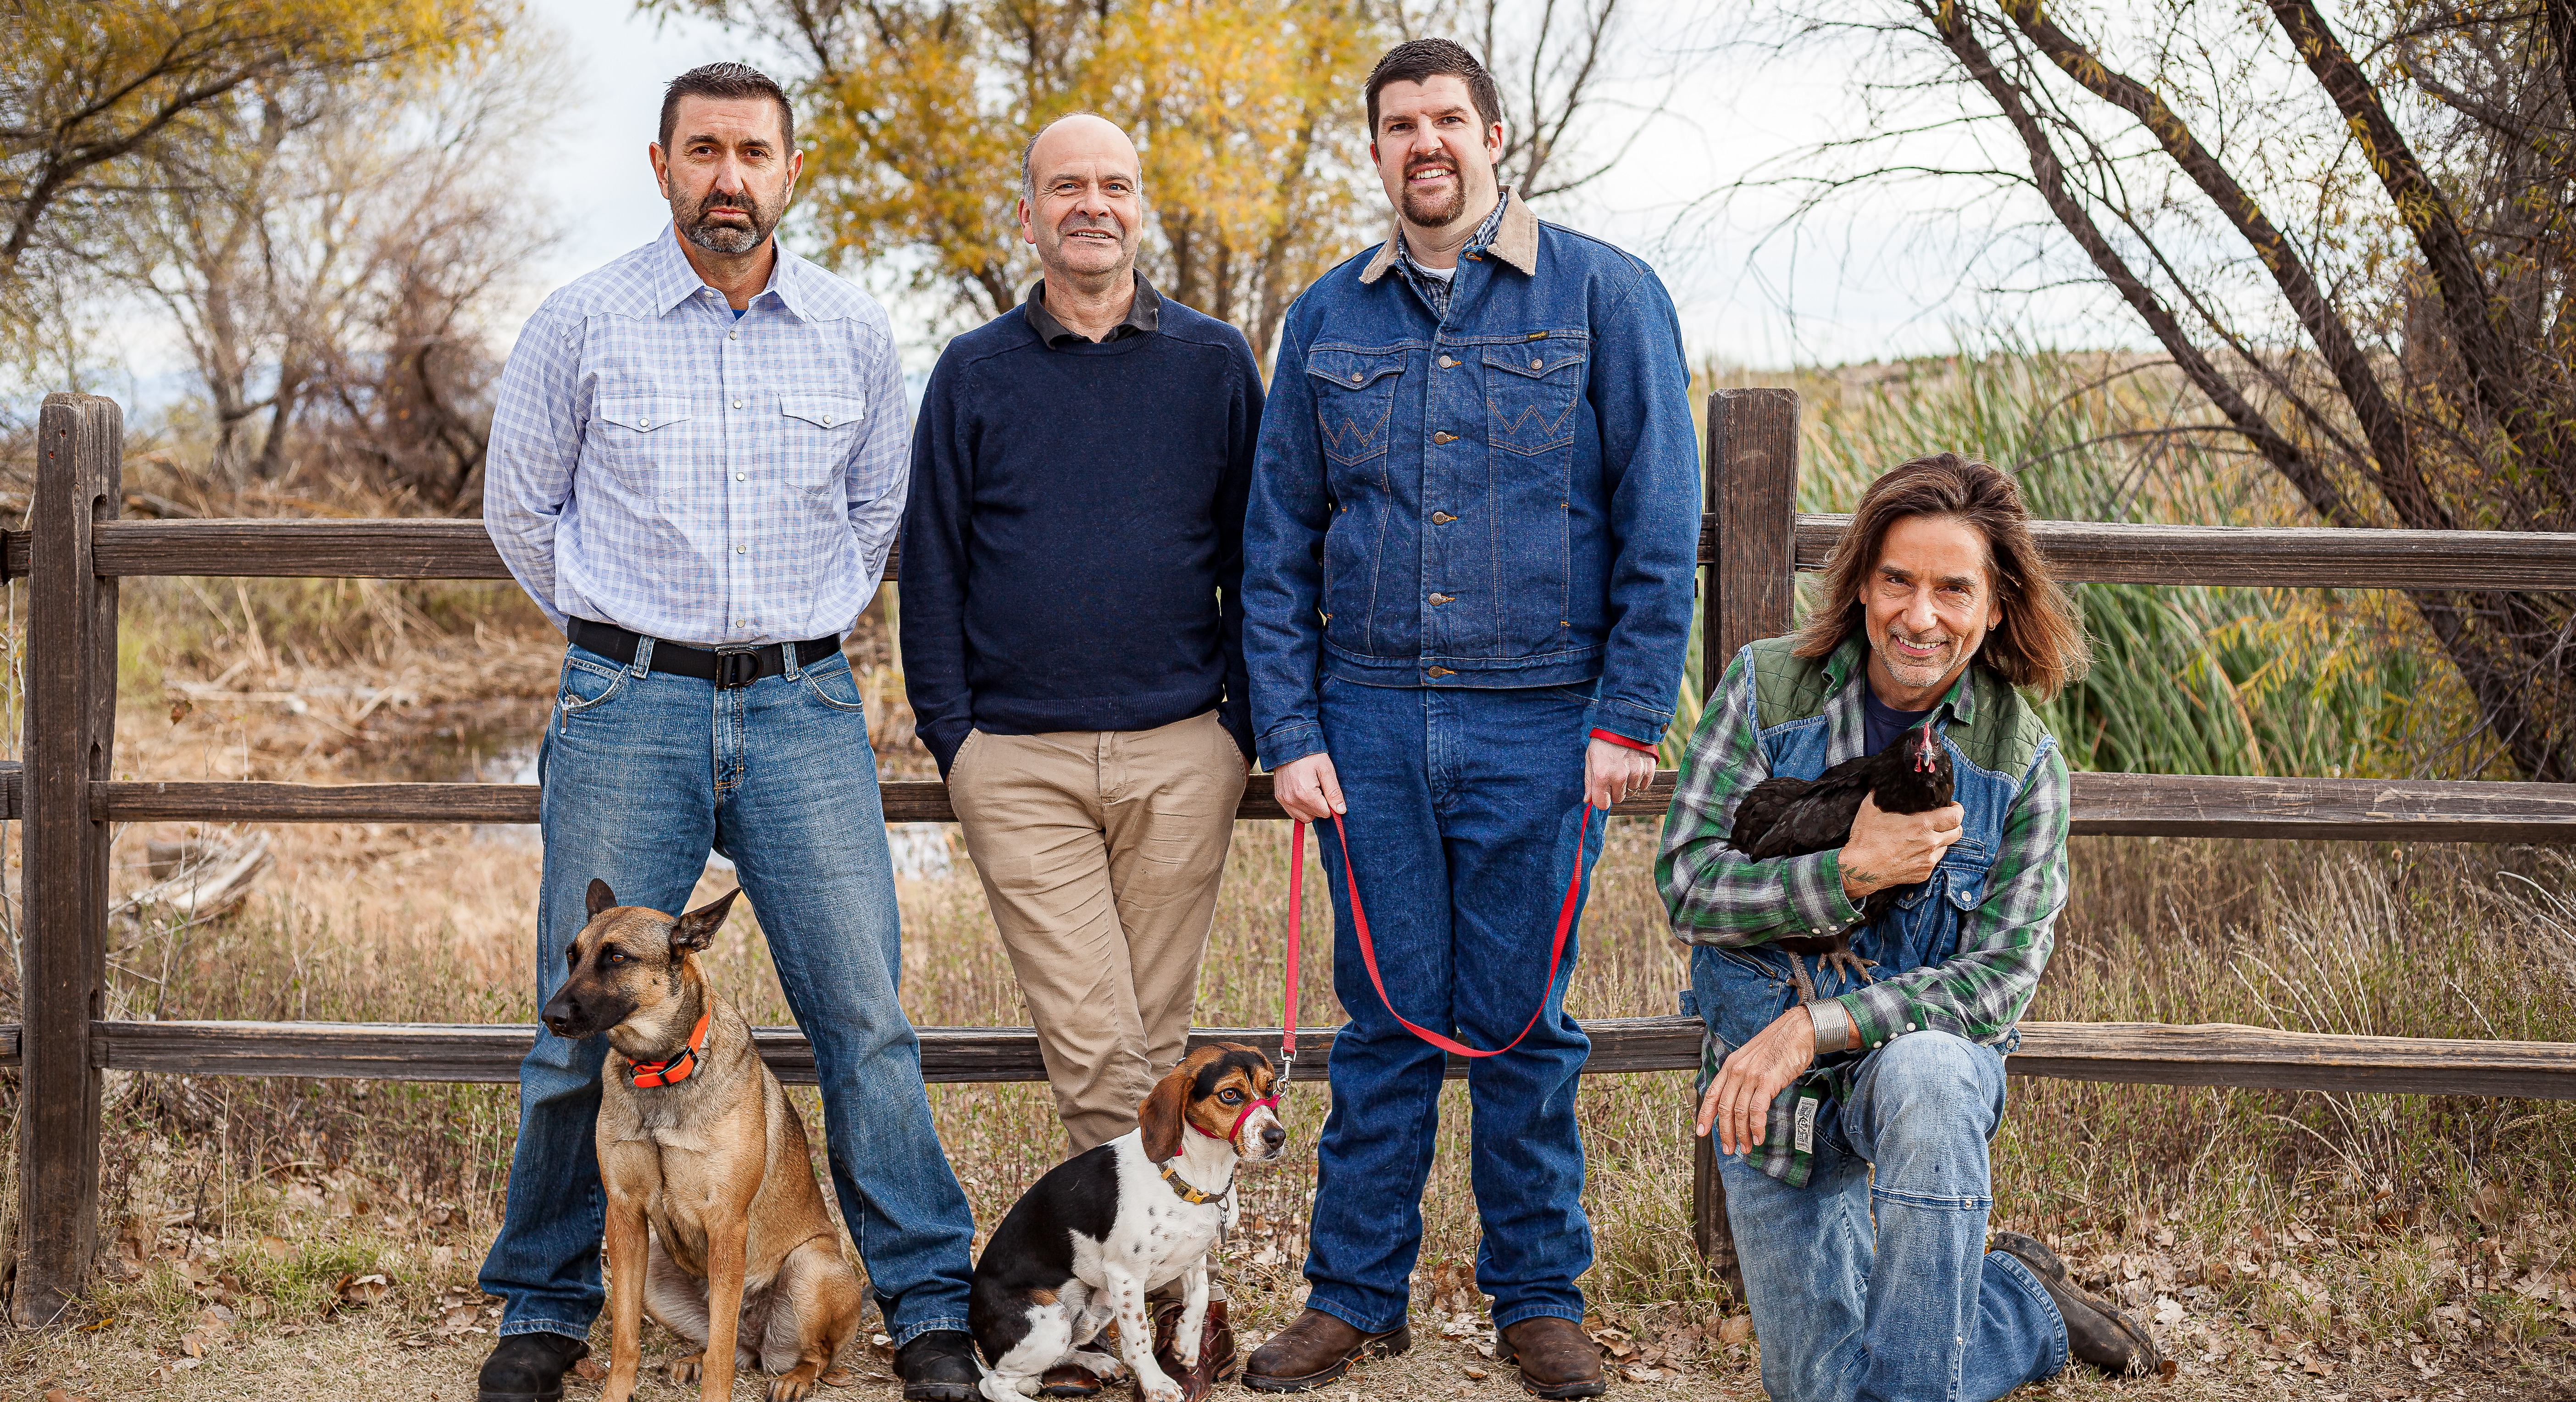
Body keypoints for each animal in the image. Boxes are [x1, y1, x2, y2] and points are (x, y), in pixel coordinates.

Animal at [541, 881, 865, 1391]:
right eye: (573, 957)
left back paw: (795, 1376)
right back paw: (694, 1356)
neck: (661, 1069)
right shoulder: (625, 1216)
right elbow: (625, 1339)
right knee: (727, 1344)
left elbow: (722, 1359)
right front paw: (617, 1392)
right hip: (656, 1270)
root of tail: (759, 1341)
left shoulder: (727, 1221)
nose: (549, 1015)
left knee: (808, 1353)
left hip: (811, 1267)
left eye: (617, 957)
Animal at [968, 1046, 1288, 1391]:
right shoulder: (1126, 1277)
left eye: (1270, 1087)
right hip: (1052, 1323)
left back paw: (1100, 1363)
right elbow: (1139, 1340)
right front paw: (1157, 1385)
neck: (1189, 1176)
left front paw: (1187, 1345)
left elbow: (1201, 1295)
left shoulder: (1194, 1255)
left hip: (1096, 1307)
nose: (1278, 1137)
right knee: (995, 1383)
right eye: (1230, 1094)